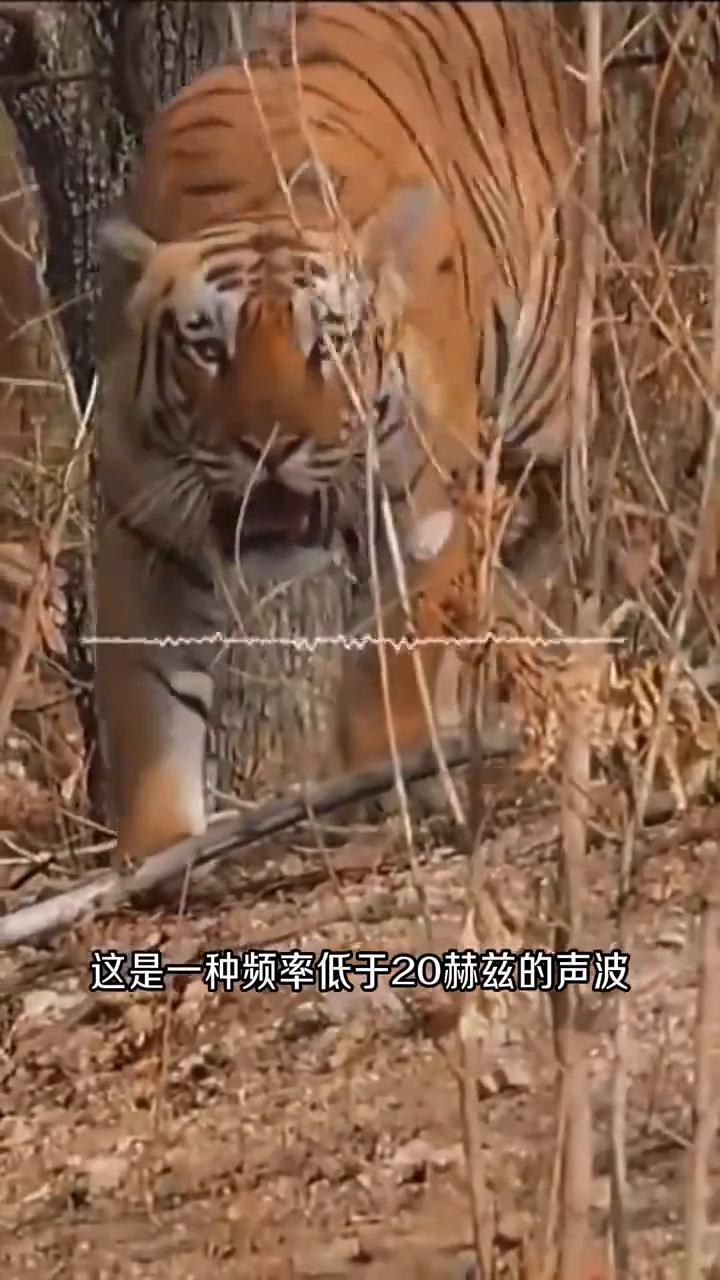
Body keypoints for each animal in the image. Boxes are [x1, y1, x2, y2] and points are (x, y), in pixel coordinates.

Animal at [94, 1, 588, 863]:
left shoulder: (422, 507)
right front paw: (157, 852)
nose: (270, 448)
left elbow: (400, 650)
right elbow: (150, 701)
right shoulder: (141, 522)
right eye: (208, 347)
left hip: (545, 404)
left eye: (325, 342)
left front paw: (376, 776)